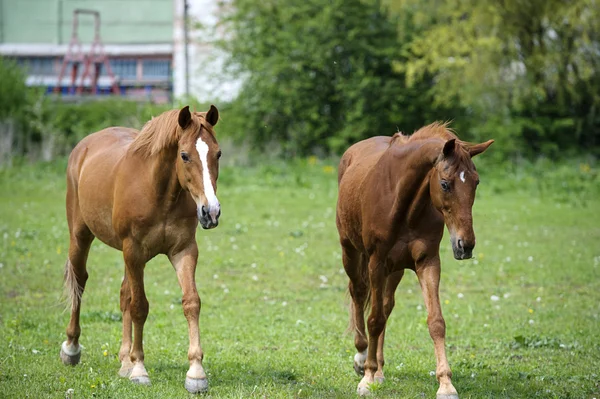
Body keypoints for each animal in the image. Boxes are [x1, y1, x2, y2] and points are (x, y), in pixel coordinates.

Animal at [58, 104, 221, 394]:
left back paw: (124, 360)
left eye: (218, 153)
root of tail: (84, 147)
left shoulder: (184, 251)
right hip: (81, 237)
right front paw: (139, 369)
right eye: (184, 155)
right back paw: (72, 348)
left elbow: (191, 302)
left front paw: (196, 373)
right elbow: (139, 307)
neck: (159, 191)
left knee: (123, 294)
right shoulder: (134, 251)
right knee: (79, 282)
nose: (210, 212)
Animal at [336, 123, 494, 398]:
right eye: (445, 184)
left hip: (395, 270)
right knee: (358, 294)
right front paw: (366, 377)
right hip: (351, 252)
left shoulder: (427, 262)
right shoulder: (376, 262)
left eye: (476, 182)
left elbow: (436, 322)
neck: (404, 205)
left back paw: (379, 370)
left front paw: (446, 384)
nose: (465, 245)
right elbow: (374, 319)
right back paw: (362, 357)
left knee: (385, 306)